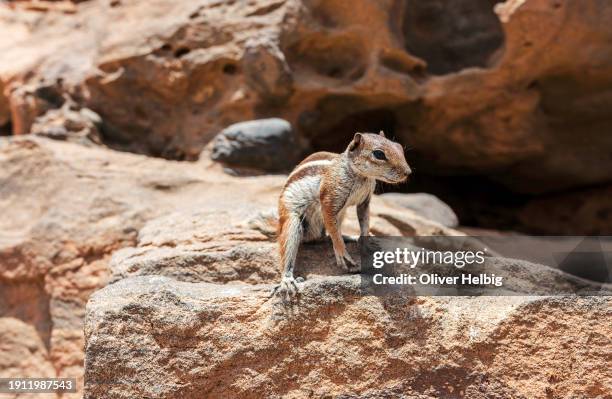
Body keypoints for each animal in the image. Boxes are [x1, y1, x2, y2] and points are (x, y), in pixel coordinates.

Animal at [272, 131, 412, 300]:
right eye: (379, 154)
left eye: (399, 147)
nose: (407, 173)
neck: (361, 176)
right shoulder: (329, 200)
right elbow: (332, 226)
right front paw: (343, 255)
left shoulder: (365, 201)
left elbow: (364, 220)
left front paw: (365, 241)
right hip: (291, 220)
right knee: (292, 245)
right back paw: (287, 280)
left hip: (341, 214)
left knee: (326, 235)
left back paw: (348, 236)